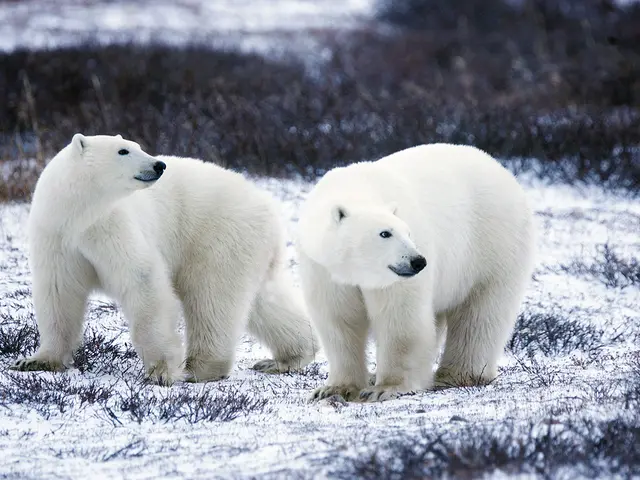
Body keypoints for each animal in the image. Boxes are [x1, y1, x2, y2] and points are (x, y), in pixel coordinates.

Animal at [10, 133, 318, 385]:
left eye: (137, 146)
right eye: (123, 150)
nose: (159, 165)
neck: (78, 214)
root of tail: (268, 205)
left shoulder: (111, 226)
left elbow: (142, 280)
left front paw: (161, 371)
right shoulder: (56, 235)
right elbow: (59, 293)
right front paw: (36, 360)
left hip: (218, 235)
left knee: (211, 297)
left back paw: (200, 368)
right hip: (249, 247)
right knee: (264, 301)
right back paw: (287, 357)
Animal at [296, 143, 536, 402]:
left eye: (408, 232)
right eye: (385, 233)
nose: (418, 261)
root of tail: (502, 170)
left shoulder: (395, 279)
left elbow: (400, 319)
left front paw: (385, 388)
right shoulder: (323, 269)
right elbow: (339, 320)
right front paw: (334, 389)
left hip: (493, 245)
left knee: (481, 313)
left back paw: (457, 375)